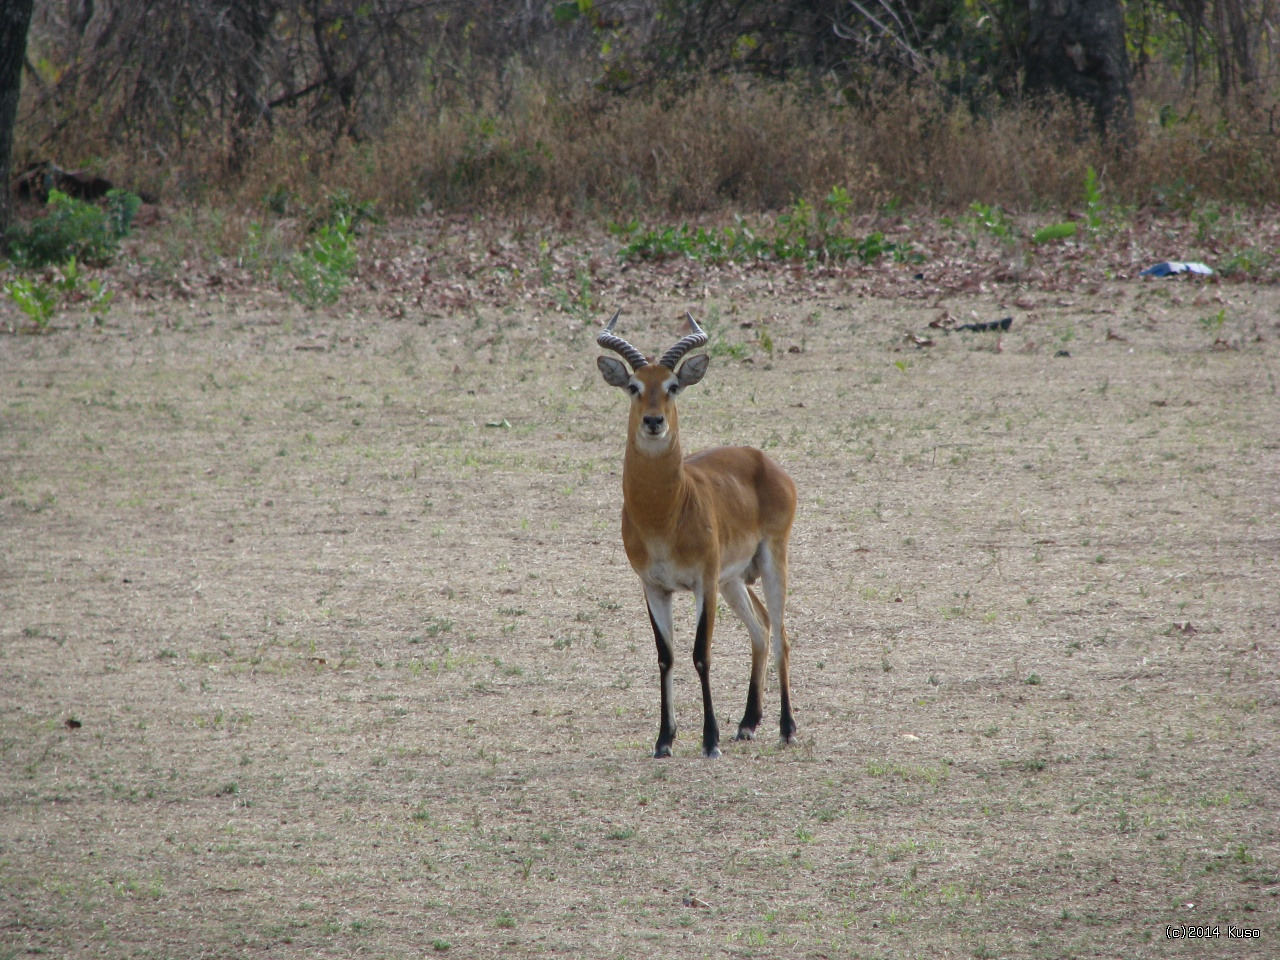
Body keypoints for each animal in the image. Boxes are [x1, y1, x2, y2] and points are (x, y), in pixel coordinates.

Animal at [593, 308, 793, 757]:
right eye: (634, 386)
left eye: (673, 386)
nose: (653, 421)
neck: (664, 516)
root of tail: (763, 459)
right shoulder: (653, 586)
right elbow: (665, 656)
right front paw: (664, 740)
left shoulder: (703, 581)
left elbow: (701, 654)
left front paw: (709, 740)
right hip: (733, 580)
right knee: (761, 627)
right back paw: (747, 724)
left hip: (770, 560)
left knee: (781, 635)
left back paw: (787, 729)